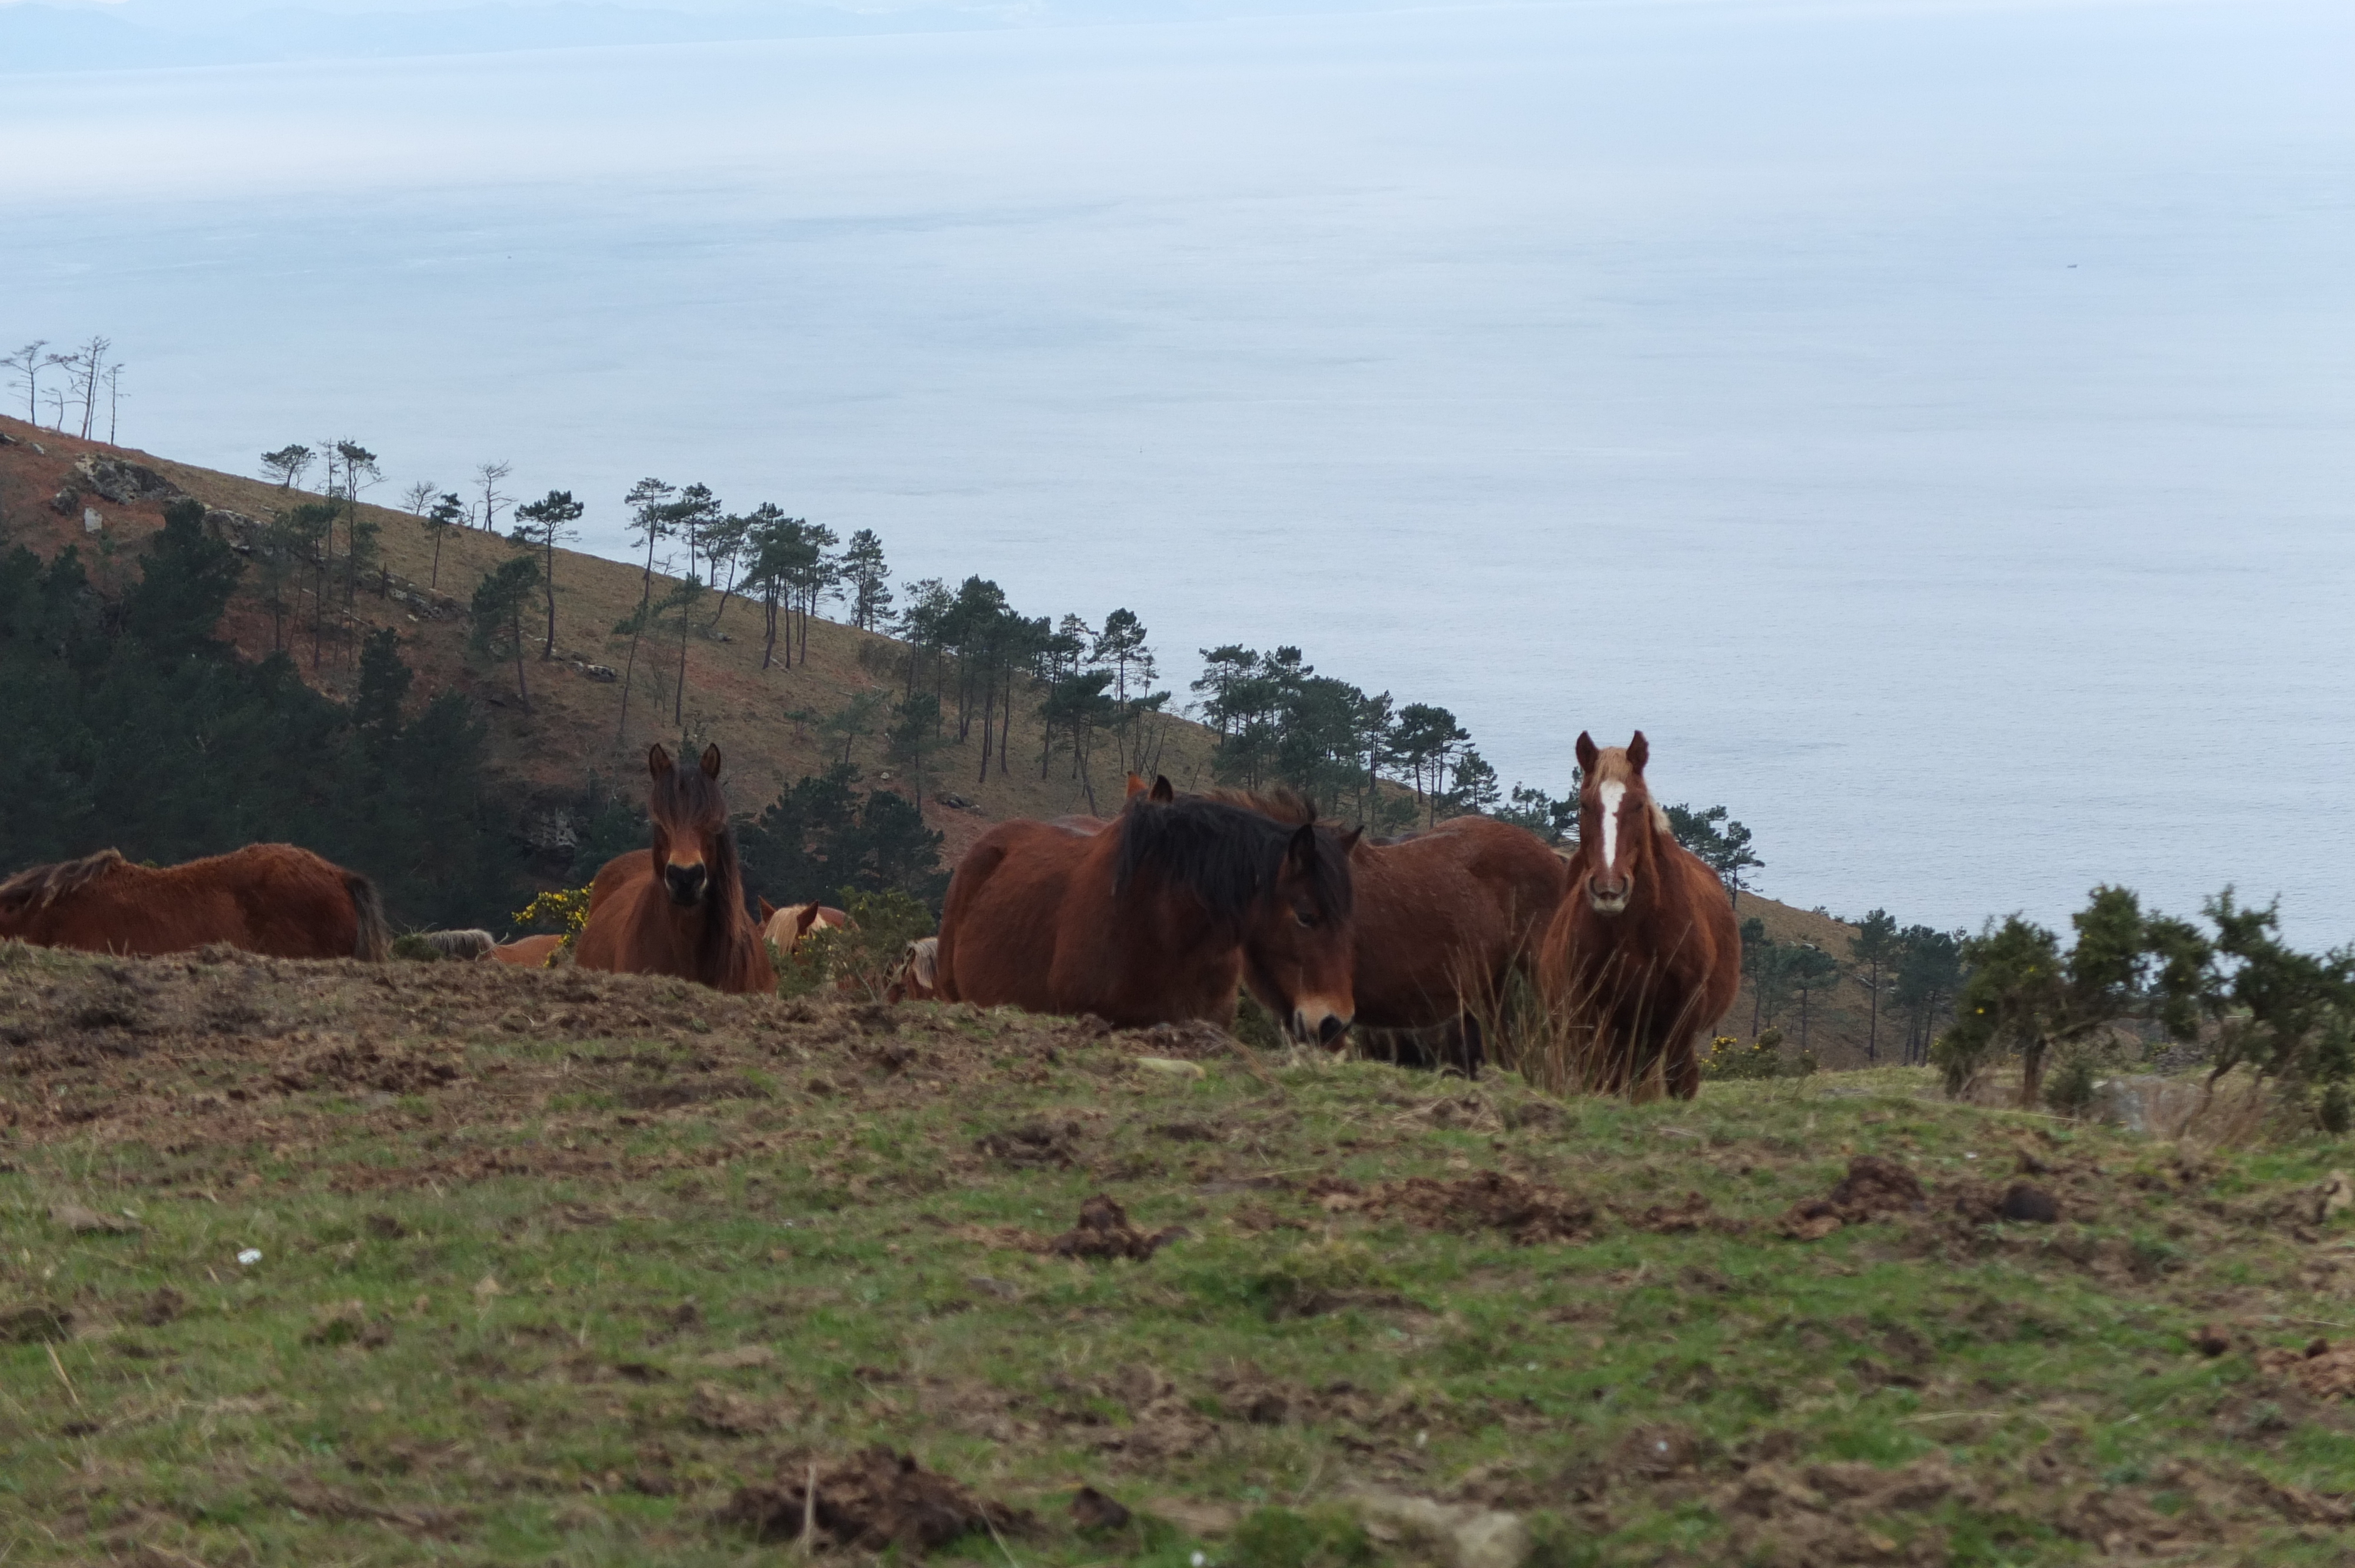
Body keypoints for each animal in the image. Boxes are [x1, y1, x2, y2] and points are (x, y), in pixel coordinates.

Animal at [1535, 725, 1743, 1092]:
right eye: (1584, 804)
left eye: (1638, 804)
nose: (1609, 888)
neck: (1634, 931)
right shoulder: (1590, 1014)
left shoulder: (1682, 1015)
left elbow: (1678, 1080)